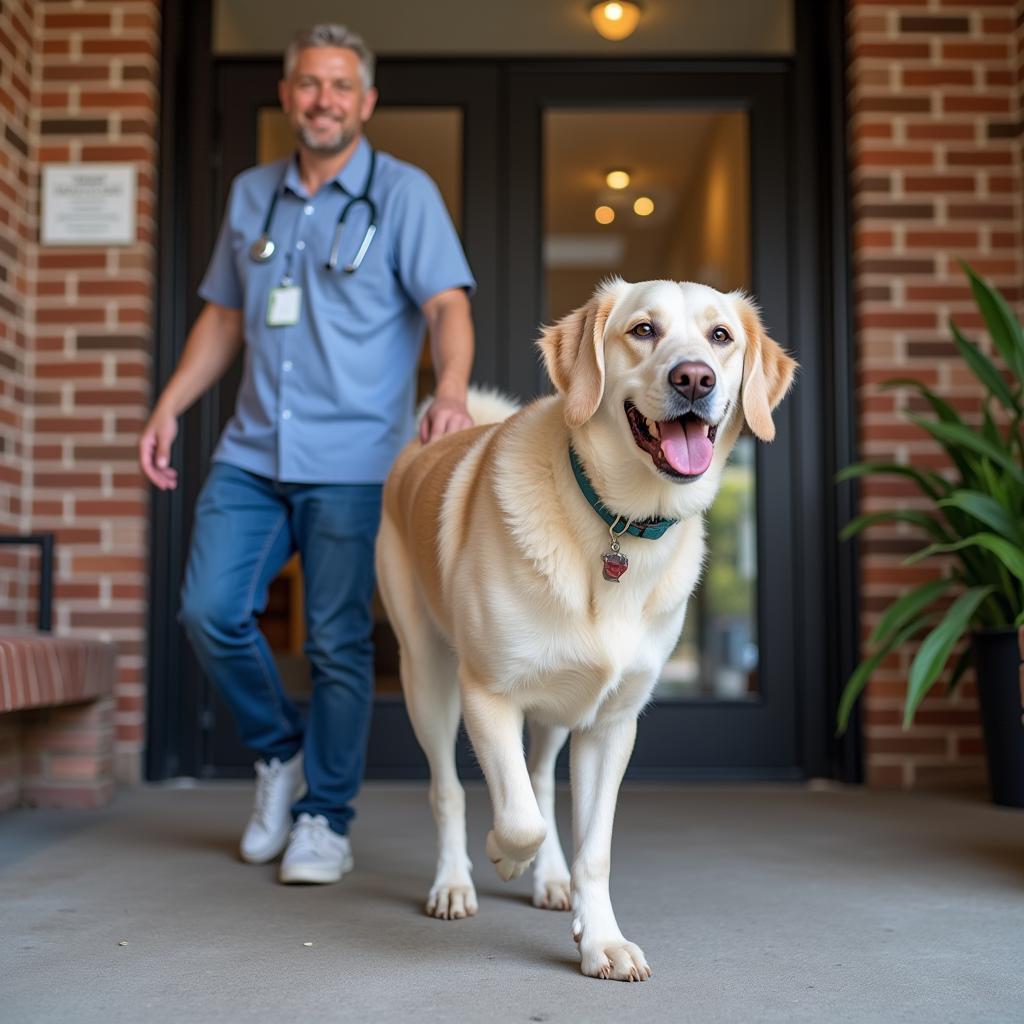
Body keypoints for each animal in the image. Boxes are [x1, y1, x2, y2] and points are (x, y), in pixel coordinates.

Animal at [372, 276, 794, 978]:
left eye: (721, 336)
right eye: (644, 330)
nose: (695, 378)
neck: (619, 524)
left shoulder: (611, 724)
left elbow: (589, 843)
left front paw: (600, 938)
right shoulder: (488, 695)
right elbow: (518, 815)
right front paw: (504, 854)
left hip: (559, 706)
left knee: (540, 779)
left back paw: (549, 879)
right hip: (427, 678)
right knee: (449, 790)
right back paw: (455, 882)